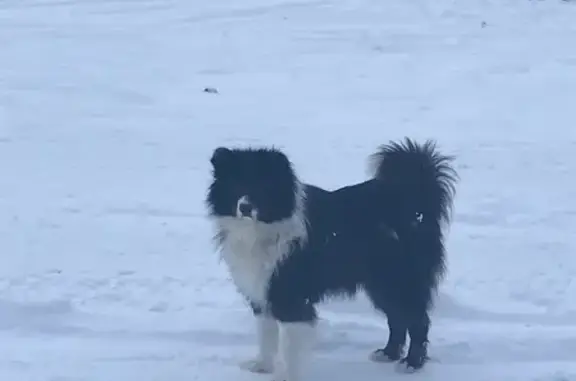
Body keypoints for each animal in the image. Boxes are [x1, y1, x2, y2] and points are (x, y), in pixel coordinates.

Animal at [205, 138, 456, 380]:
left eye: (262, 186)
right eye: (235, 184)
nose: (245, 207)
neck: (263, 229)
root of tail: (414, 194)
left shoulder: (291, 297)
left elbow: (290, 347)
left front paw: (287, 376)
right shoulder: (263, 292)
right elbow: (266, 334)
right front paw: (262, 366)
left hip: (400, 280)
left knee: (418, 321)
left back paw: (412, 364)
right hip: (381, 283)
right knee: (397, 319)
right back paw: (388, 354)